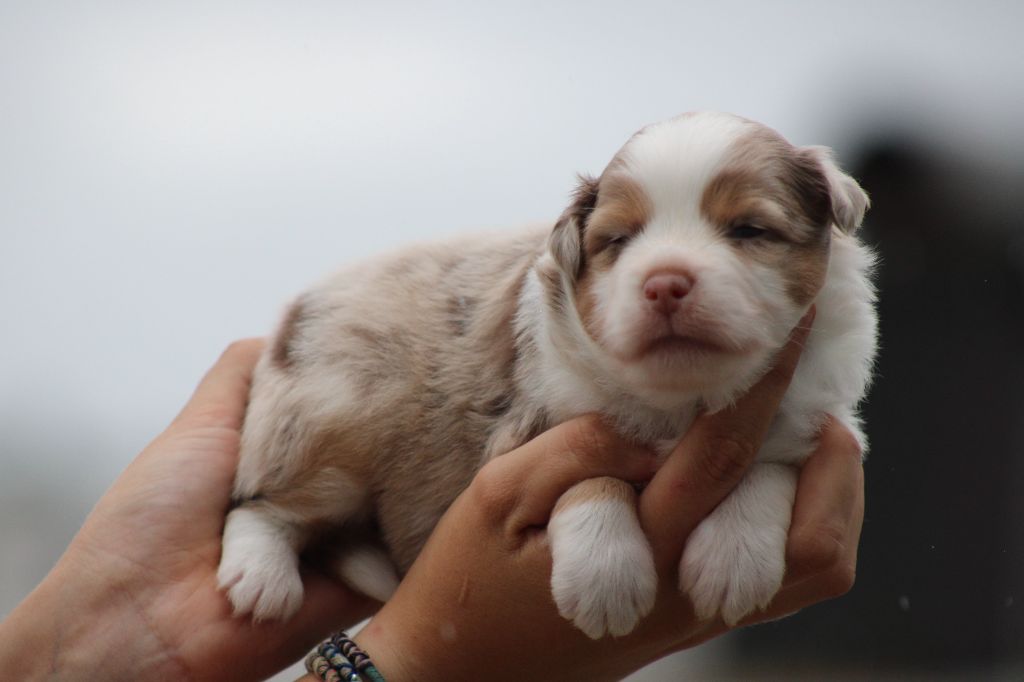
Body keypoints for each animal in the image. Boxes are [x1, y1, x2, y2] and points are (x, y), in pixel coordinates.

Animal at [220, 111, 876, 638]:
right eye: (618, 239)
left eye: (748, 230)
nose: (664, 283)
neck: (681, 400)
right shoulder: (528, 427)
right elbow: (585, 476)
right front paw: (605, 579)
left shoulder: (809, 415)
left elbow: (769, 463)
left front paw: (733, 558)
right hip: (328, 420)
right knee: (260, 504)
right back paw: (260, 579)